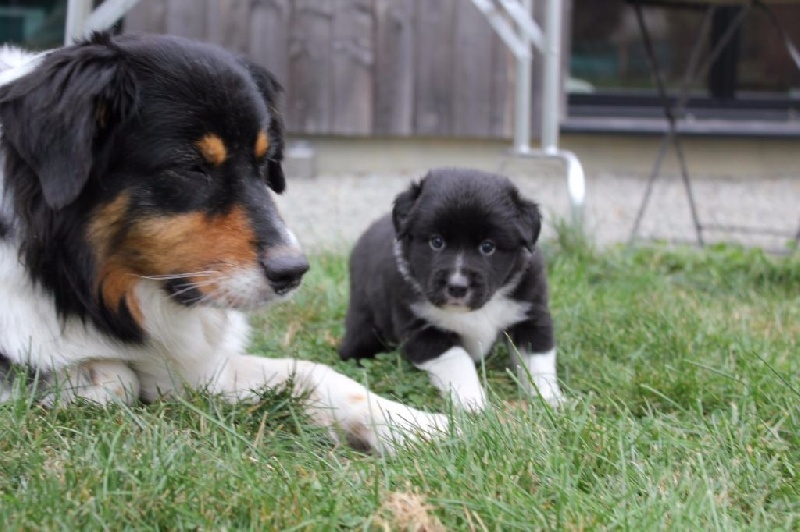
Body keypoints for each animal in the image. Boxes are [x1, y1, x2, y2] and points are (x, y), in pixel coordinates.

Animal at [0, 33, 447, 454]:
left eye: (265, 163)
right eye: (191, 166)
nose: (293, 272)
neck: (71, 286)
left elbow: (308, 372)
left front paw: (416, 425)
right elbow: (113, 378)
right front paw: (83, 381)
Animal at [339, 168, 564, 411]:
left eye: (488, 247)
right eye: (436, 242)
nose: (457, 287)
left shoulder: (530, 316)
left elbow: (538, 361)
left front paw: (549, 399)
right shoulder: (423, 330)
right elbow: (458, 362)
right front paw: (472, 402)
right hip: (363, 315)